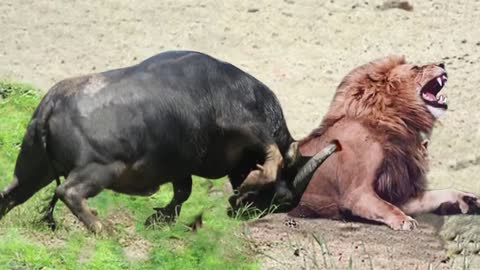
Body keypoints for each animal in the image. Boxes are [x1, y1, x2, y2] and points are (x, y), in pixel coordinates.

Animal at [0, 51, 336, 232]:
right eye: (283, 198)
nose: (242, 213)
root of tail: (52, 104)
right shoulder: (247, 127)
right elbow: (274, 155)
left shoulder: (180, 165)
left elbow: (182, 192)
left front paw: (159, 217)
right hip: (97, 170)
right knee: (68, 191)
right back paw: (102, 228)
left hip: (32, 168)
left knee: (10, 195)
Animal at [288, 55, 480, 230]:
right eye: (416, 68)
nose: (442, 63)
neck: (398, 122)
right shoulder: (357, 193)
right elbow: (386, 207)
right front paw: (405, 221)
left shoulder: (397, 194)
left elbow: (435, 195)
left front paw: (468, 199)